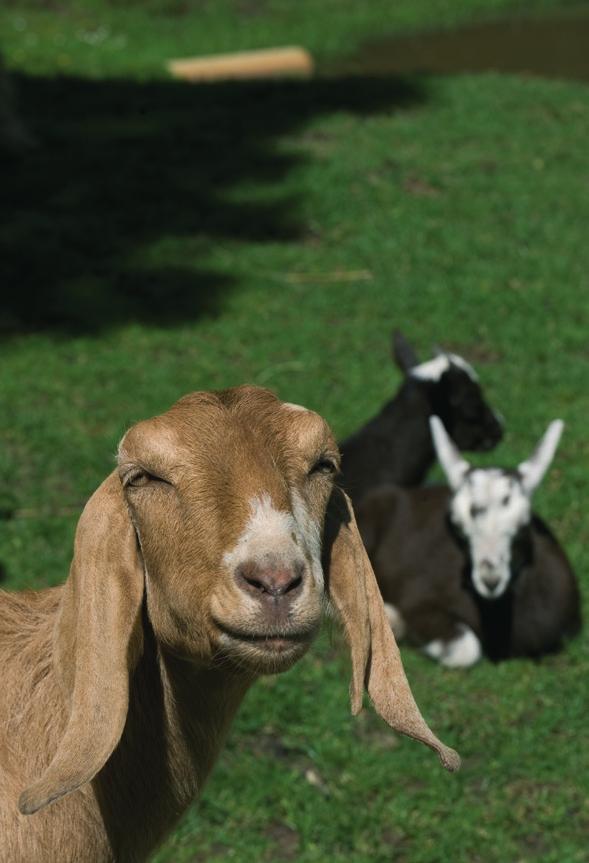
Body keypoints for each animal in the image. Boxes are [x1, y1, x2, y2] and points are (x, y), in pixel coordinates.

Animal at [356, 418, 580, 668]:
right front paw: (396, 621)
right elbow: (466, 649)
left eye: (523, 523)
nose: (490, 580)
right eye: (458, 525)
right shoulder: (418, 601)